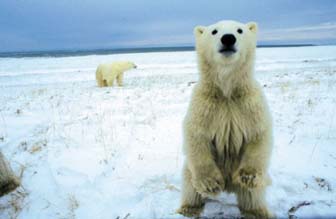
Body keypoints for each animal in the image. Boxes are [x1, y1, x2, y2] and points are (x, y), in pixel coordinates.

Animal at [177, 20, 274, 219]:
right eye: (214, 31)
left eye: (240, 30)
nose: (228, 38)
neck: (227, 92)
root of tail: (230, 187)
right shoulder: (204, 106)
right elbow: (196, 136)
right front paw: (211, 184)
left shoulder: (250, 104)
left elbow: (260, 133)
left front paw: (248, 176)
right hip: (190, 171)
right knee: (189, 182)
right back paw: (189, 208)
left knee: (252, 194)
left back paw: (258, 211)